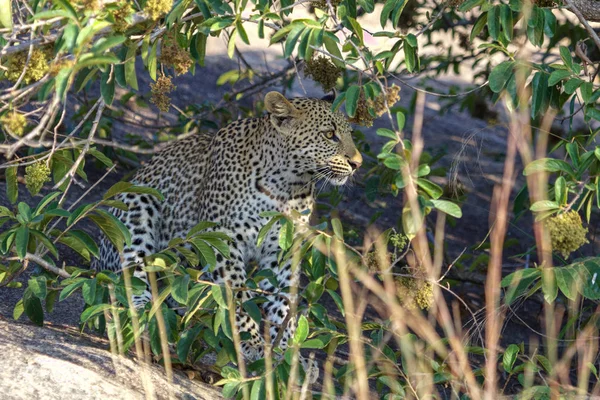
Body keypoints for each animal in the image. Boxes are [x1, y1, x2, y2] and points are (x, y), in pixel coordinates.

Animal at [92, 91, 364, 382]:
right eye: (329, 135)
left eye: (349, 134)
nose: (357, 163)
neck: (288, 185)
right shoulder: (223, 240)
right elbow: (237, 295)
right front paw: (253, 342)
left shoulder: (284, 250)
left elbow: (283, 303)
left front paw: (289, 353)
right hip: (136, 202)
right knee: (128, 279)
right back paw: (151, 315)